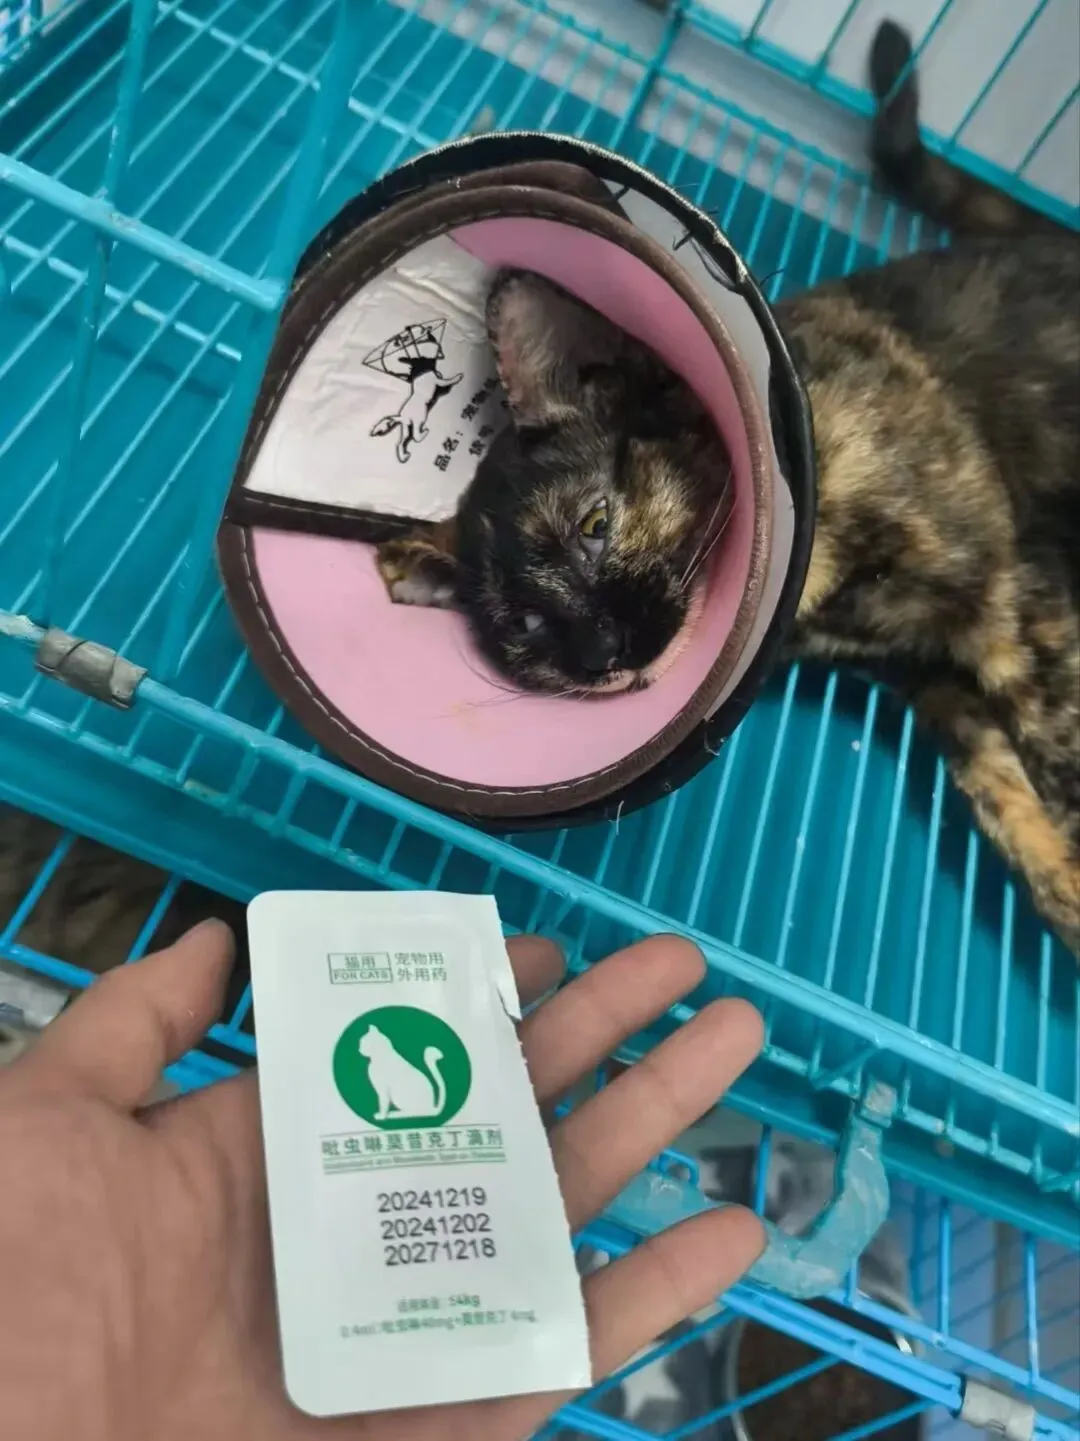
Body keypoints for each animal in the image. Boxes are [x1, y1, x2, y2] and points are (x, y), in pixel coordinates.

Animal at [375, 20, 1080, 957]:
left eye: (596, 523)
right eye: (521, 626)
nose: (600, 652)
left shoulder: (1013, 592)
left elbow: (1062, 750)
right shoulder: (937, 681)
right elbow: (1012, 812)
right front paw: (1070, 892)